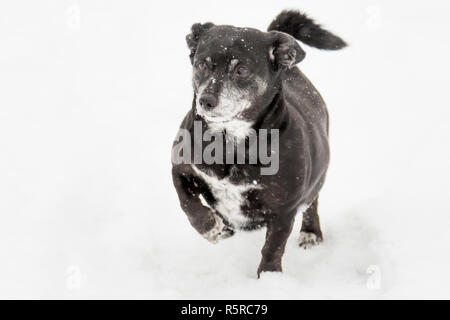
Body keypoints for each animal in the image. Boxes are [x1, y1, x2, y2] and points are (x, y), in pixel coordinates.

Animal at [171, 8, 346, 276]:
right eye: (202, 64)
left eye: (241, 70)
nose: (206, 101)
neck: (228, 144)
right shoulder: (180, 169)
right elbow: (188, 203)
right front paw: (211, 228)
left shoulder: (284, 210)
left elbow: (273, 248)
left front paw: (269, 277)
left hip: (316, 179)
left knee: (312, 202)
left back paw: (311, 232)